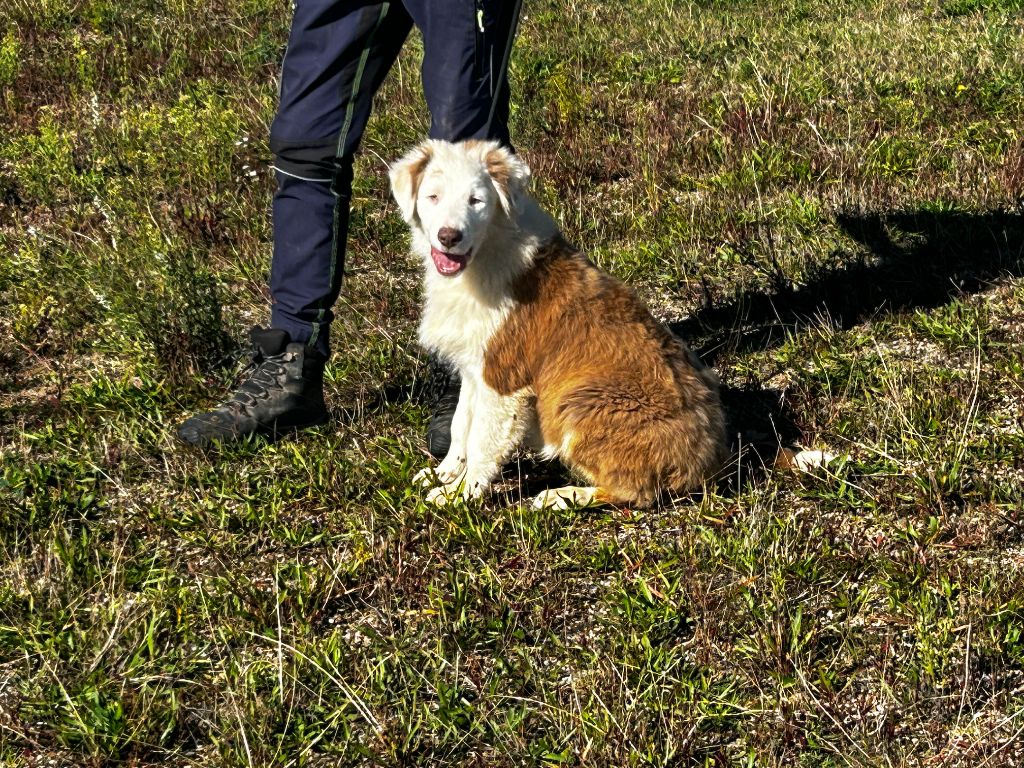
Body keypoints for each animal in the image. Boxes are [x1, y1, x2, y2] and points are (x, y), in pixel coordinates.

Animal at [385, 140, 729, 512]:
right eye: (433, 197)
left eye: (476, 200)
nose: (449, 237)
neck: (487, 249)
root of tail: (712, 461)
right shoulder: (474, 369)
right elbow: (461, 424)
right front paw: (445, 474)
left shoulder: (504, 380)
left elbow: (482, 441)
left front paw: (462, 494)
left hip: (580, 403)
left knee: (635, 492)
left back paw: (562, 496)